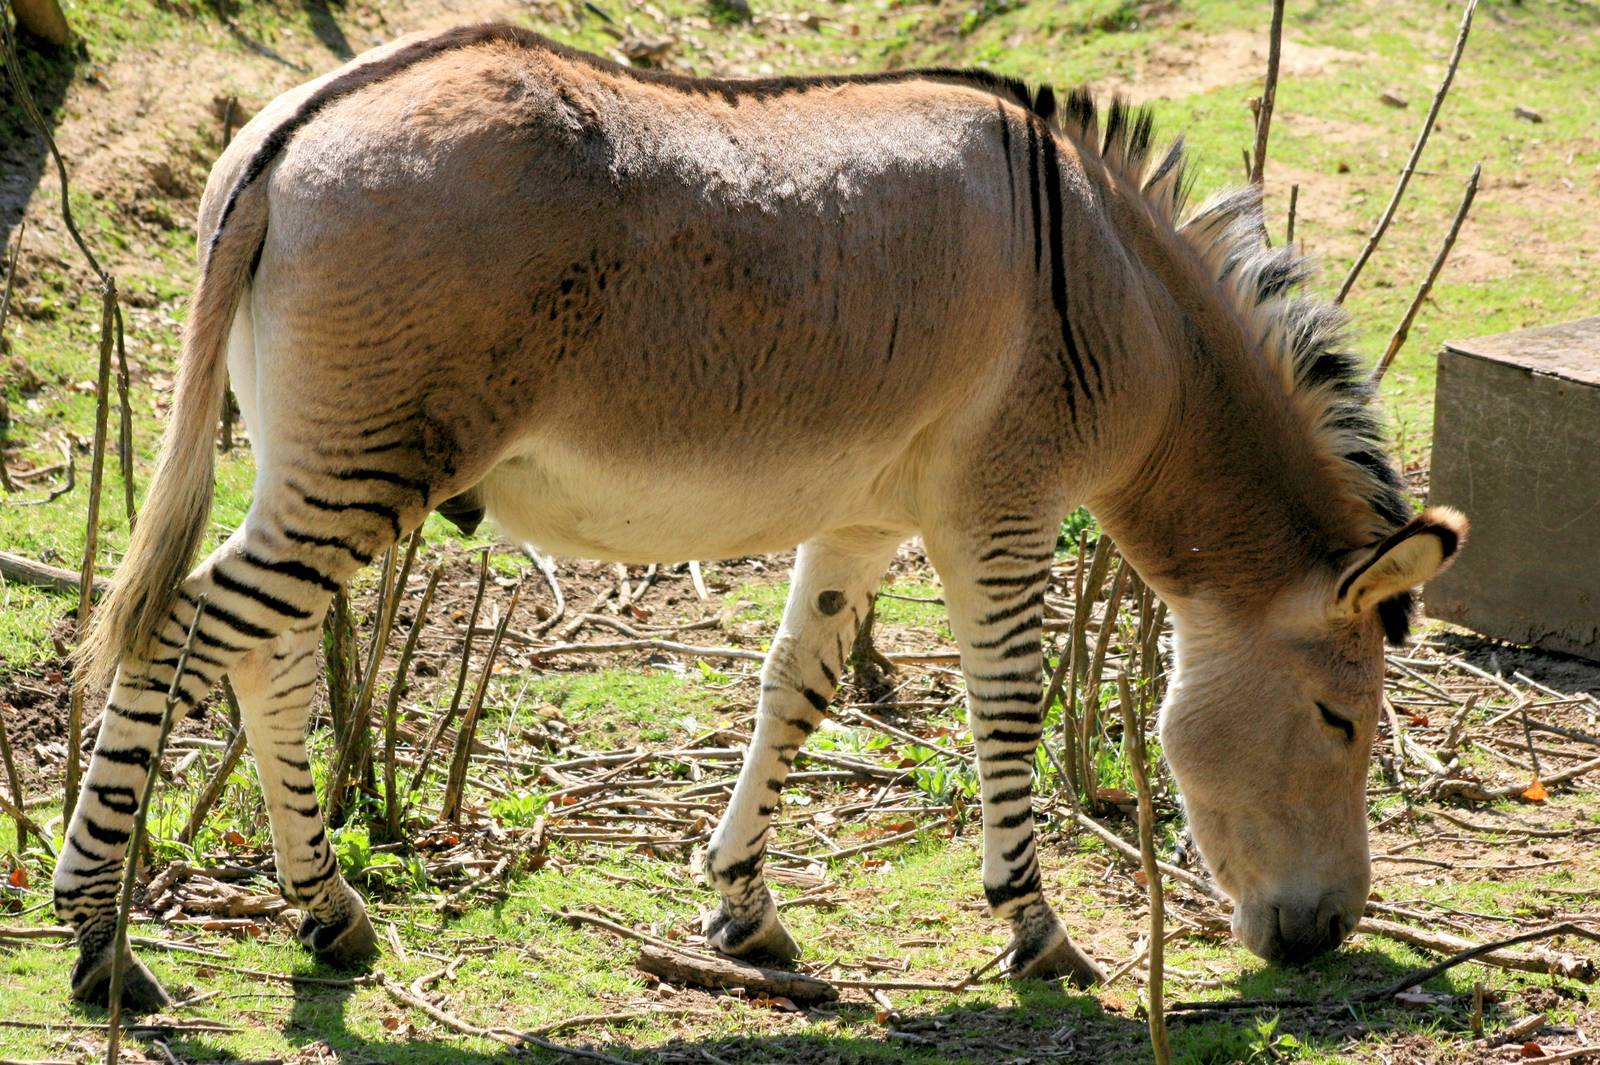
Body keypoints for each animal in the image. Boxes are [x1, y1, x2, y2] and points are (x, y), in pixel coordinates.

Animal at [55, 23, 1466, 1009]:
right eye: (1339, 721)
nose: (1327, 937)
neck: (1123, 305)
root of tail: (290, 125)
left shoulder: (865, 515)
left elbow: (798, 681)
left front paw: (743, 910)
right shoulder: (1000, 507)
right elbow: (1008, 709)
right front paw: (1037, 931)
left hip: (318, 462)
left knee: (266, 657)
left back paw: (327, 915)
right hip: (364, 463)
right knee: (183, 631)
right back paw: (100, 938)